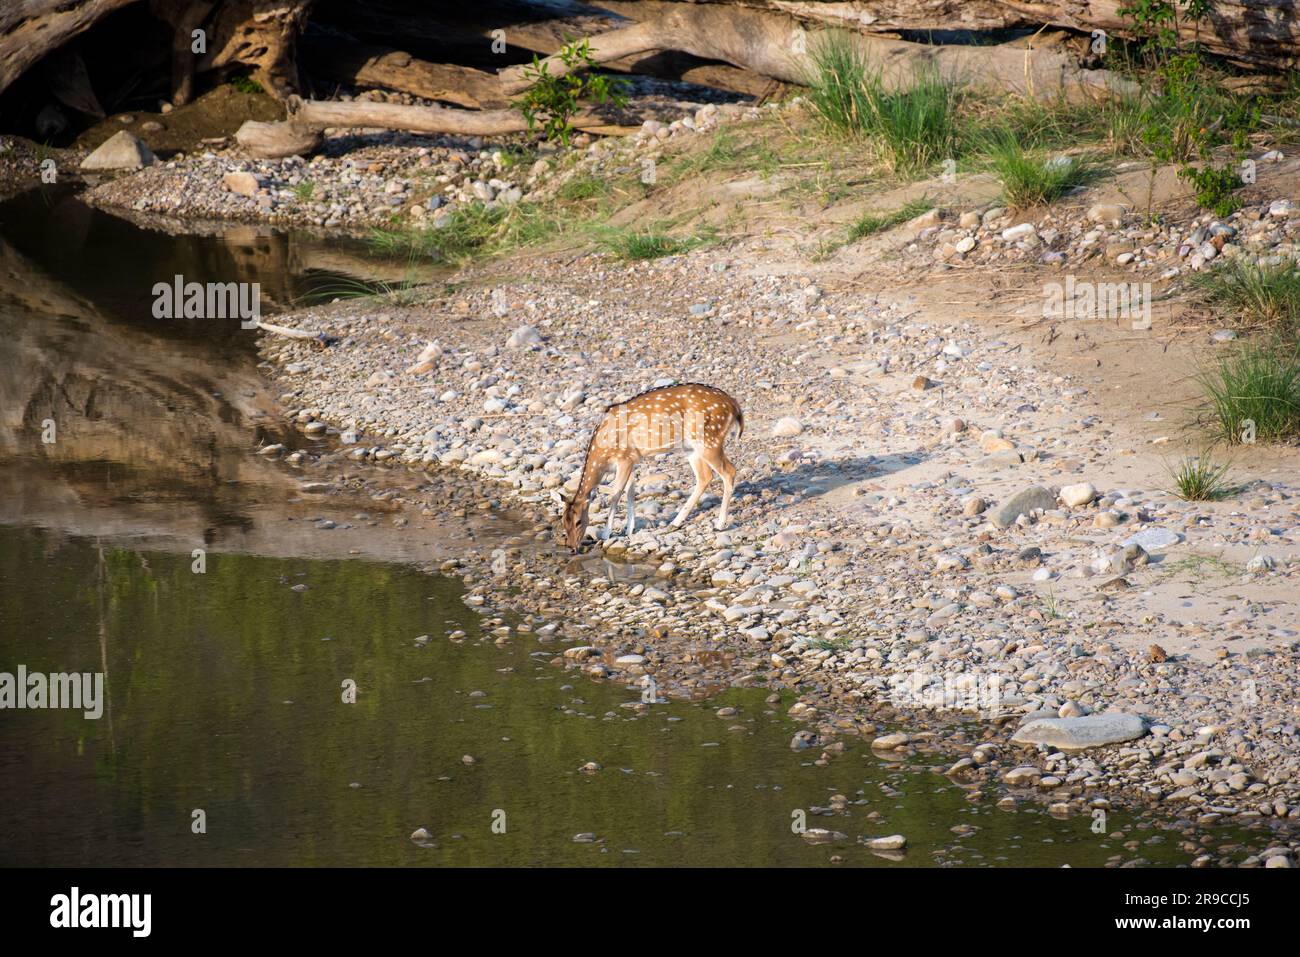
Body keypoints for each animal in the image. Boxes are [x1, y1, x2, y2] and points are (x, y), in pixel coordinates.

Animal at [562, 383, 743, 552]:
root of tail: (734, 405)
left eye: (578, 521)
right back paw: (675, 523)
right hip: (691, 448)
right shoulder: (632, 459)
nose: (571, 548)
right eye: (563, 521)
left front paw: (606, 535)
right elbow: (630, 492)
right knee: (705, 477)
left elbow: (616, 494)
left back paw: (719, 524)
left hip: (709, 439)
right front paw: (629, 530)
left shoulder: (624, 458)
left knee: (729, 471)